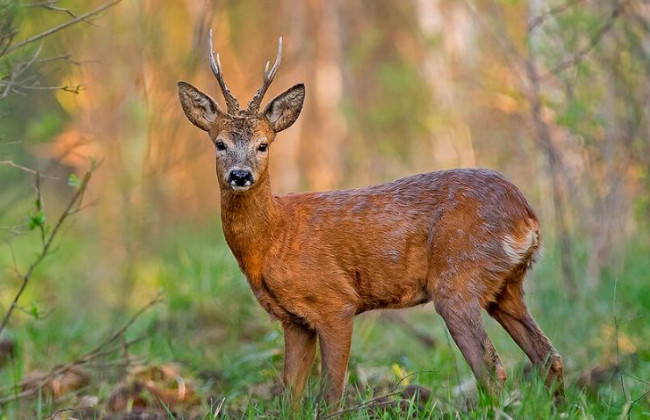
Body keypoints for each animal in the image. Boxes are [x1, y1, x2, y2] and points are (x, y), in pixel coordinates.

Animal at [177, 31, 560, 408]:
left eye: (263, 145)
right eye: (220, 144)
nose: (240, 175)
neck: (274, 237)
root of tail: (527, 217)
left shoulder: (335, 302)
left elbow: (331, 395)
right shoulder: (294, 320)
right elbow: (290, 396)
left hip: (459, 277)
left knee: (493, 369)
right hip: (506, 286)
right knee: (548, 356)